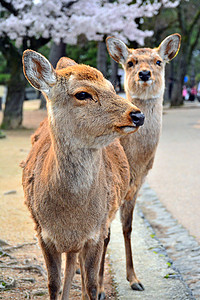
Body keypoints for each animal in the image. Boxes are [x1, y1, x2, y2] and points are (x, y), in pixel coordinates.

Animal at [21, 49, 145, 300]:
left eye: (111, 86)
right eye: (83, 94)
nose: (137, 115)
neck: (71, 217)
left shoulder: (95, 233)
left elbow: (91, 284)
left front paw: (97, 291)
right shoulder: (43, 233)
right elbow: (53, 284)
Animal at [105, 34, 182, 292]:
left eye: (159, 61)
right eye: (130, 62)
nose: (145, 73)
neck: (133, 162)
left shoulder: (135, 188)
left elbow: (127, 228)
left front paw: (135, 280)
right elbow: (104, 235)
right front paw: (98, 290)